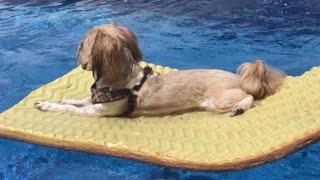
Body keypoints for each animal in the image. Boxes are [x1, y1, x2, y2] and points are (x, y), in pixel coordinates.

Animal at [34, 23, 284, 116]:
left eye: (84, 44)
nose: (77, 47)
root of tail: (239, 79)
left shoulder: (100, 111)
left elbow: (72, 109)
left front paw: (49, 106)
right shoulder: (96, 100)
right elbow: (77, 100)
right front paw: (59, 100)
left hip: (217, 100)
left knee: (249, 97)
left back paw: (240, 107)